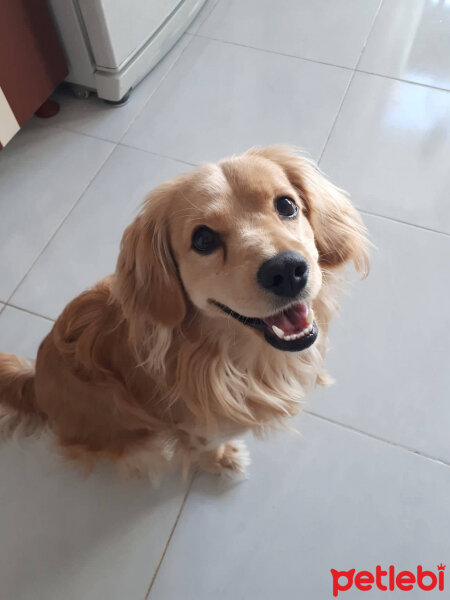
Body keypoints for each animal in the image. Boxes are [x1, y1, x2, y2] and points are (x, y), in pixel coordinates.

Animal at [0, 146, 368, 482]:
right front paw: (223, 460)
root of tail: (35, 382)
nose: (287, 270)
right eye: (203, 239)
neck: (229, 356)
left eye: (287, 205)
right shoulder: (193, 427)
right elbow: (205, 446)